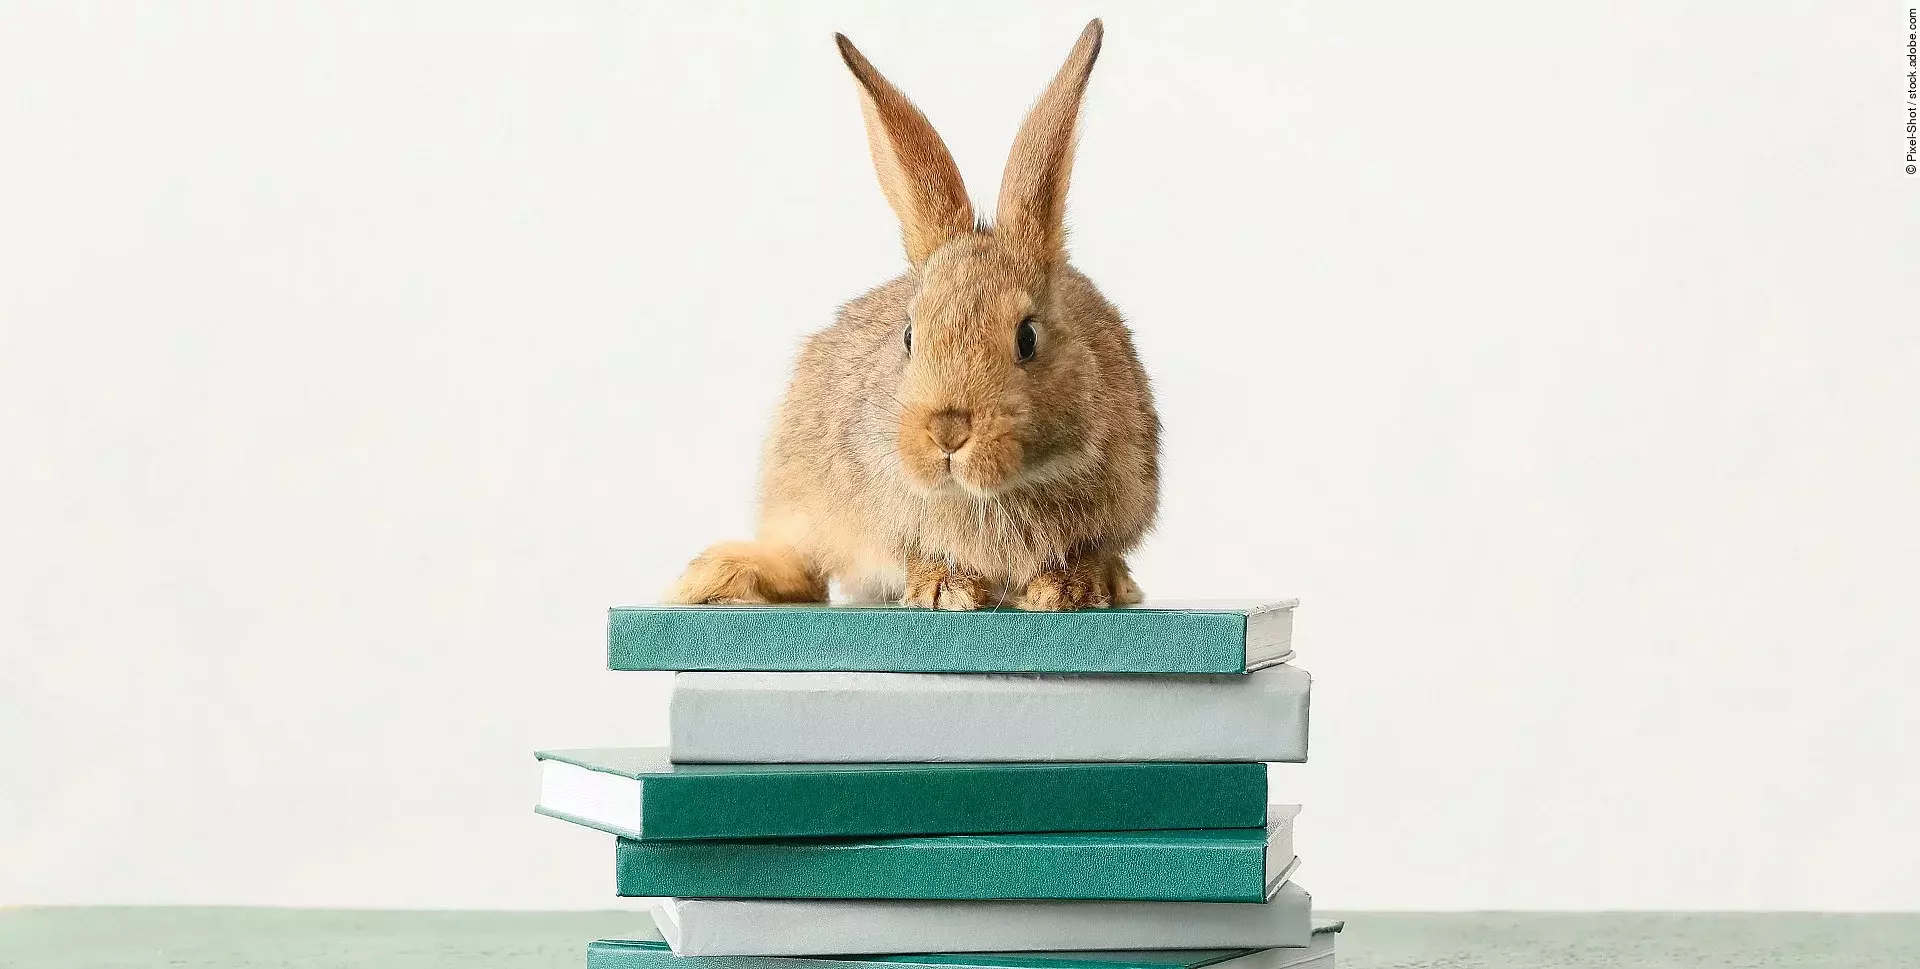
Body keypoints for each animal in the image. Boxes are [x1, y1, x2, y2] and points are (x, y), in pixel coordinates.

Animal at [668, 19, 1159, 611]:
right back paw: (719, 576)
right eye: (909, 336)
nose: (947, 431)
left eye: (1027, 338)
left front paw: (1072, 588)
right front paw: (944, 589)